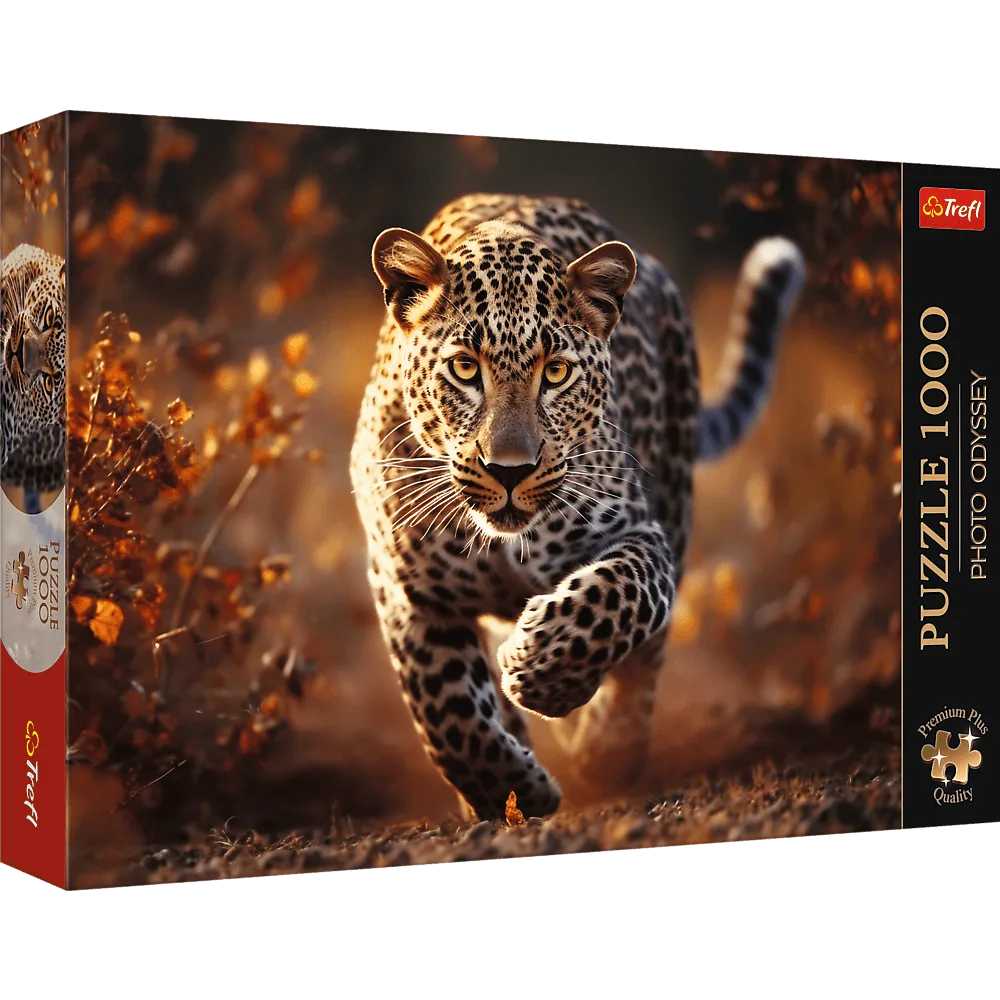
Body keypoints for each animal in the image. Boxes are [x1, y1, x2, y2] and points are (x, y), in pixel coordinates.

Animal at [350, 193, 805, 822]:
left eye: (556, 372)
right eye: (464, 368)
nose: (509, 470)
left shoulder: (640, 533)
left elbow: (618, 597)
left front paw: (542, 670)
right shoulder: (406, 589)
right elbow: (447, 710)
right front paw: (510, 792)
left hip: (676, 496)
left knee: (646, 659)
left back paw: (609, 749)